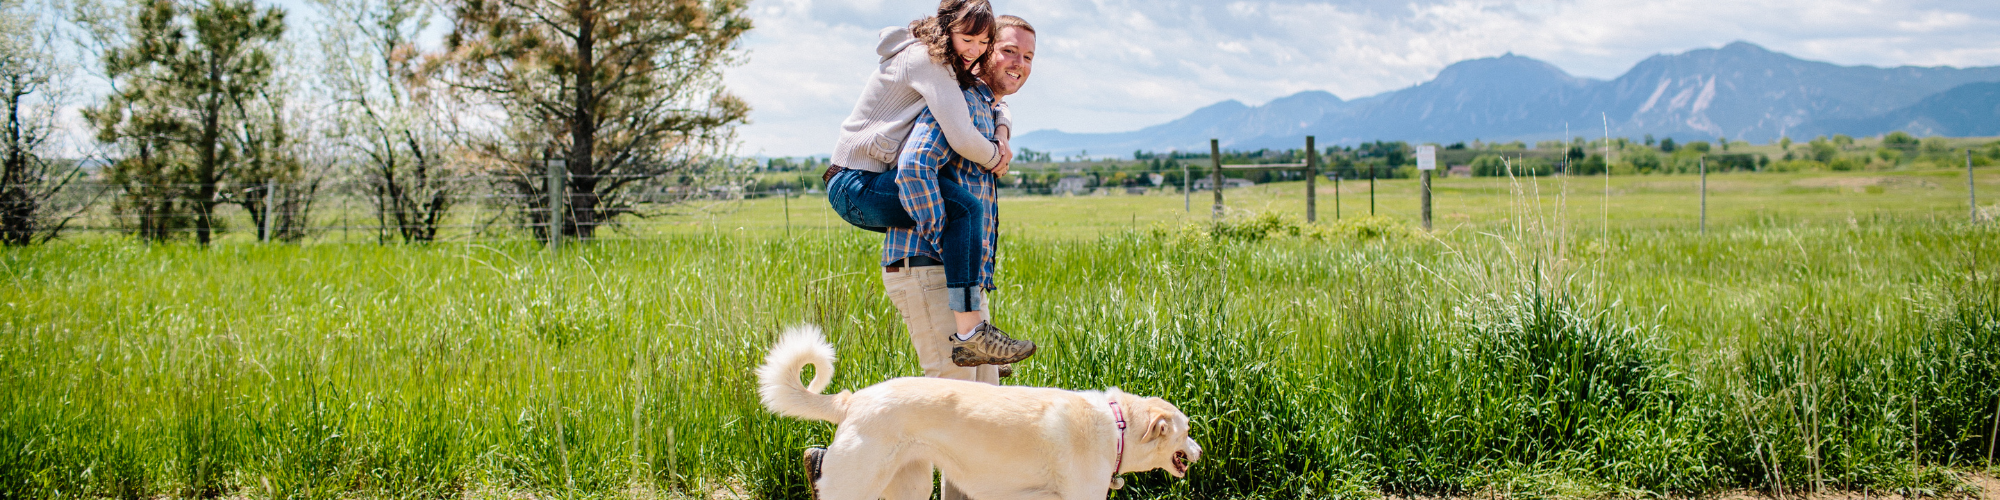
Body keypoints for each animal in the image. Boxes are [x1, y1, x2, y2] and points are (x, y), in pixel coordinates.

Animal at [756, 326, 1200, 500]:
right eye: (1186, 430)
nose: (1199, 451)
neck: (1117, 425)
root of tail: (853, 399)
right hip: (857, 484)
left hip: (910, 485)